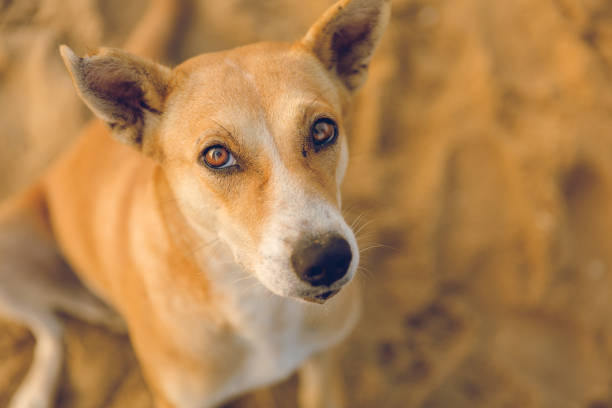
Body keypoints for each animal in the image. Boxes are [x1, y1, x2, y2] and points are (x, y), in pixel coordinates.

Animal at [0, 1, 392, 406]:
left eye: (323, 130)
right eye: (217, 155)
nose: (327, 259)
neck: (256, 303)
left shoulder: (324, 363)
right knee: (51, 331)